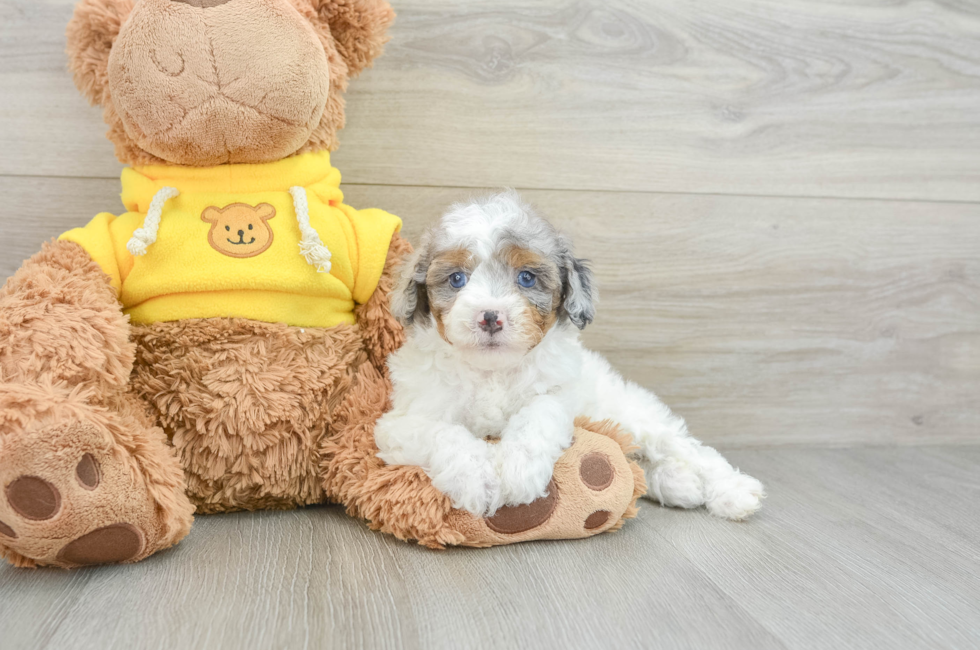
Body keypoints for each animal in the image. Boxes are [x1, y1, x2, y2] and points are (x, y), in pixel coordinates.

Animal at [376, 190, 764, 520]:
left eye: (527, 278)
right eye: (457, 279)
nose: (490, 316)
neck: (493, 372)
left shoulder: (559, 394)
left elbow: (538, 415)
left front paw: (518, 469)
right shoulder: (400, 422)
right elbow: (443, 434)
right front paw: (477, 478)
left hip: (631, 414)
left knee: (685, 448)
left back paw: (733, 490)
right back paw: (679, 483)